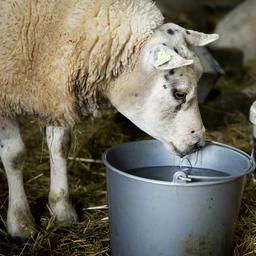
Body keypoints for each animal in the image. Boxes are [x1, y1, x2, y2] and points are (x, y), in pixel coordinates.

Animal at [0, 0, 218, 241]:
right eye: (180, 93)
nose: (198, 143)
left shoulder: (57, 92)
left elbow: (60, 146)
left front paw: (62, 209)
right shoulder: (6, 97)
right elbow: (14, 155)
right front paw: (21, 224)